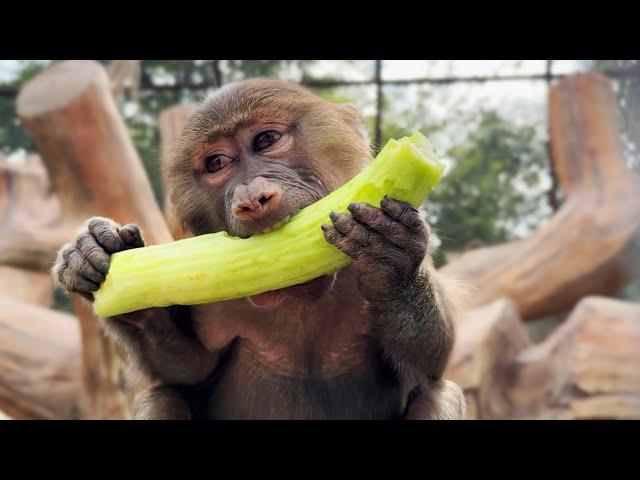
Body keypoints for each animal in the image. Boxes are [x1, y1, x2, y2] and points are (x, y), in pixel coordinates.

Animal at [53, 79, 464, 420]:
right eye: (217, 163)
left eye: (265, 141)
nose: (252, 199)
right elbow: (186, 368)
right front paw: (94, 255)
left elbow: (429, 363)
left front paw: (393, 261)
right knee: (163, 396)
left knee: (439, 394)